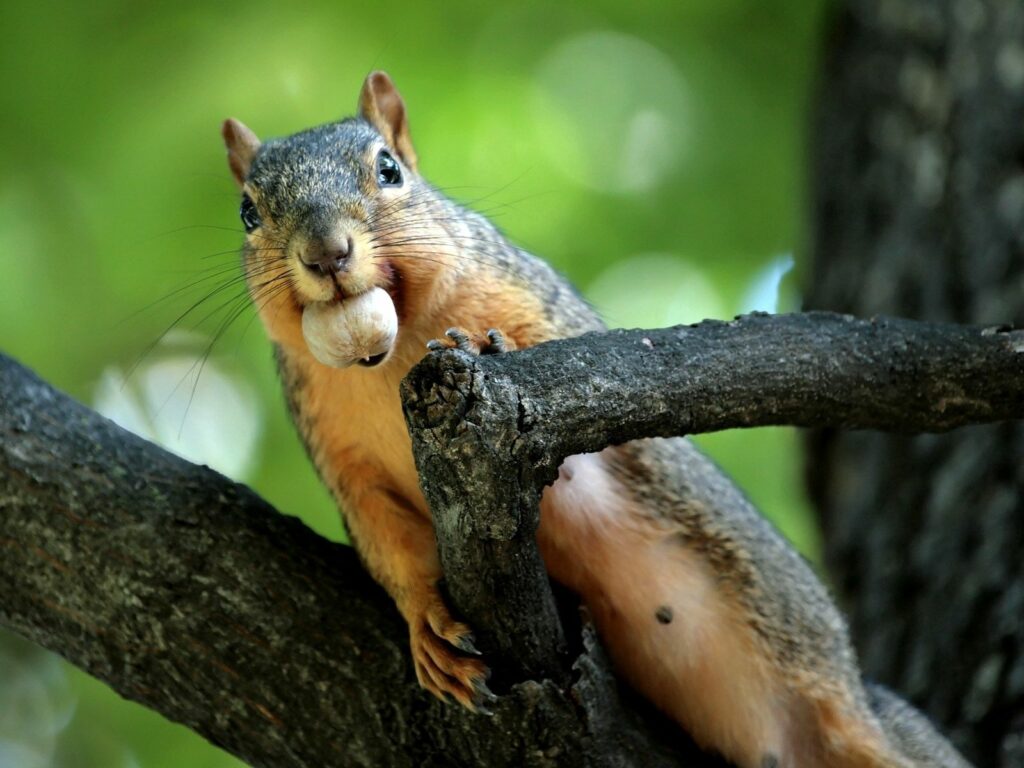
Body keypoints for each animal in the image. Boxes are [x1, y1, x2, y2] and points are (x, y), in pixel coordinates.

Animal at [220, 71, 972, 768]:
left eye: (388, 169)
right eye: (248, 212)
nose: (326, 253)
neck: (394, 355)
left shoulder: (541, 306)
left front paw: (489, 345)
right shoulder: (340, 458)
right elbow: (388, 543)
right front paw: (427, 627)